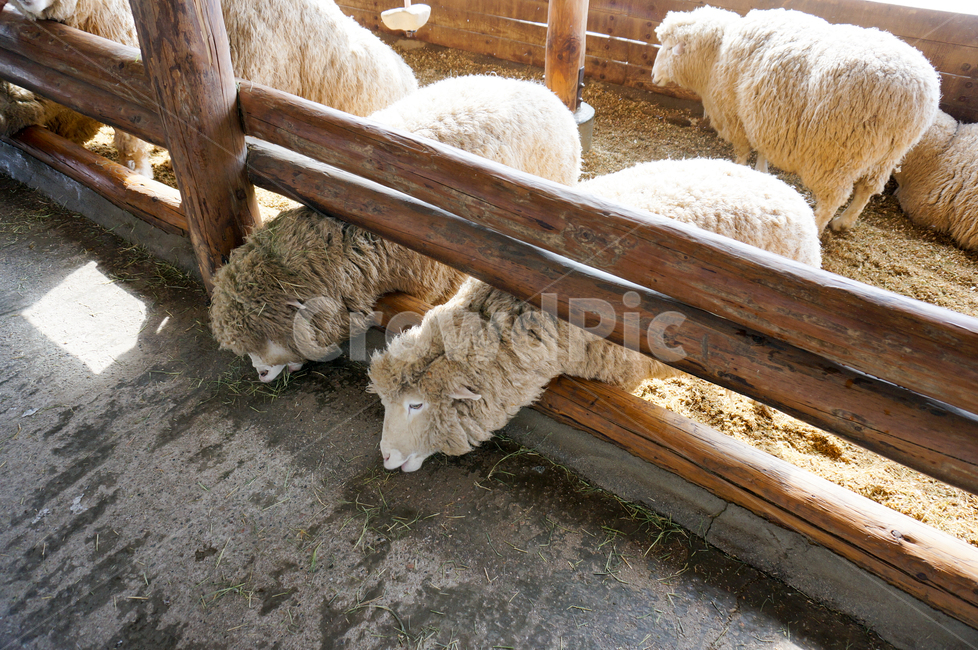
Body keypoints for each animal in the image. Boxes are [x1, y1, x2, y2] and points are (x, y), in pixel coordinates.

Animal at [650, 6, 940, 233]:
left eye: (669, 48)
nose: (653, 77)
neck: (715, 56)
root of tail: (913, 91)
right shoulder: (763, 117)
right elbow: (763, 152)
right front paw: (761, 172)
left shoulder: (736, 117)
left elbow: (743, 152)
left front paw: (742, 170)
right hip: (888, 155)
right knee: (866, 190)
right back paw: (844, 222)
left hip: (836, 152)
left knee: (833, 198)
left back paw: (818, 226)